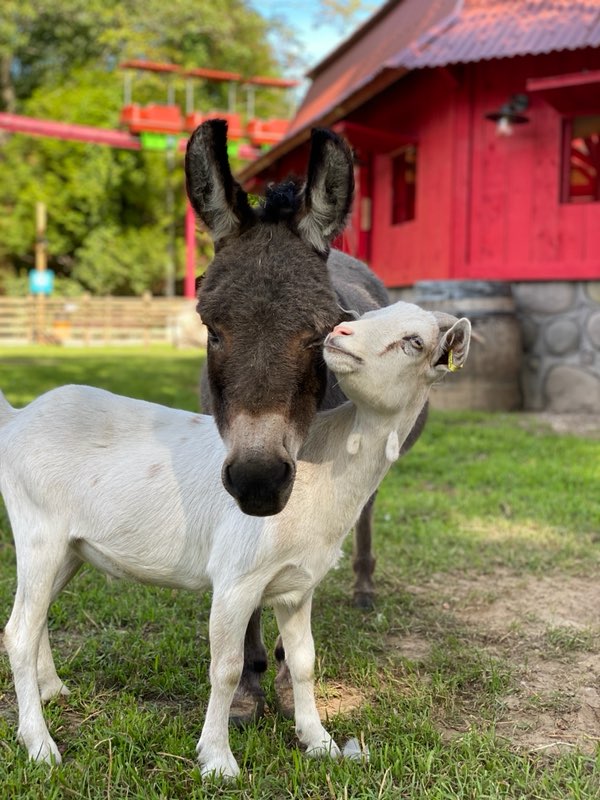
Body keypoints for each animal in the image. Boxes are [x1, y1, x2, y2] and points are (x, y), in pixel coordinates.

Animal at [0, 298, 472, 776]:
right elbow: (226, 668)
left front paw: (319, 741)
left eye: (414, 341)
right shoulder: (236, 579)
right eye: (367, 317)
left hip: (70, 549)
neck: (323, 466)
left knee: (37, 618)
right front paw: (218, 760)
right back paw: (39, 745)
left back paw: (52, 689)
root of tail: (18, 418)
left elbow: (303, 661)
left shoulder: (297, 586)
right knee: (18, 632)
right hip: (38, 531)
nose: (339, 334)